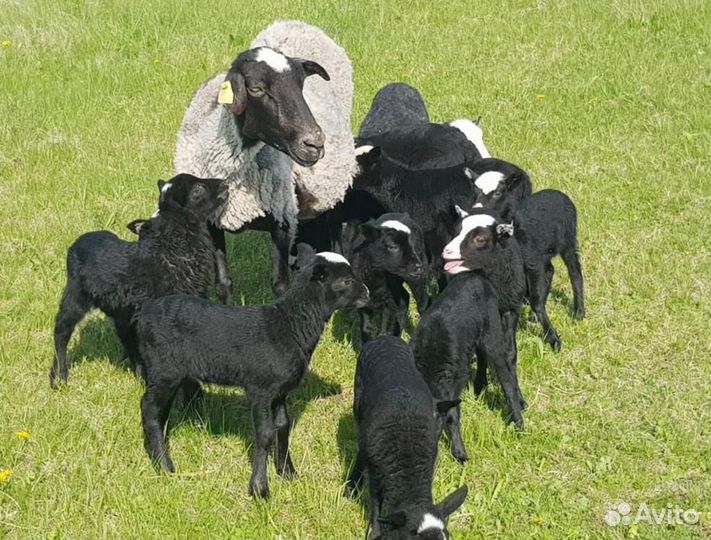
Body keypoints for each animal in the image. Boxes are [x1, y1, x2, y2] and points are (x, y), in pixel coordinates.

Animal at [49, 174, 229, 389]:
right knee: (61, 331)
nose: (225, 184)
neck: (171, 248)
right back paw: (60, 377)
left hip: (119, 313)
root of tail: (81, 239)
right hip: (75, 296)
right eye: (198, 190)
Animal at [133, 252, 369, 498]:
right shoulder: (260, 389)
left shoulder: (280, 391)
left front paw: (287, 472)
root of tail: (145, 311)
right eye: (345, 281)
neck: (290, 325)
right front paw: (259, 488)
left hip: (168, 374)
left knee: (160, 411)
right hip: (164, 369)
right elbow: (264, 435)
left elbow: (283, 426)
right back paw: (164, 466)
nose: (367, 294)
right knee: (149, 408)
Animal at [174, 21, 357, 296]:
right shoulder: (211, 221)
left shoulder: (283, 219)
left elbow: (281, 286)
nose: (314, 143)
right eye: (256, 88)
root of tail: (296, 23)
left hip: (332, 187)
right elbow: (223, 284)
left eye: (301, 86)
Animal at [342, 213, 427, 343]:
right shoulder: (364, 300)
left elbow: (387, 328)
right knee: (404, 298)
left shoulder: (390, 300)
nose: (418, 266)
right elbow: (366, 328)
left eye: (412, 245)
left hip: (414, 279)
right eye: (393, 246)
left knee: (421, 301)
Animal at [411, 222, 527, 462]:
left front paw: (459, 453)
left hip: (492, 331)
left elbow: (453, 415)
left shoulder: (452, 386)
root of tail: (475, 275)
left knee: (505, 369)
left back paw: (518, 419)